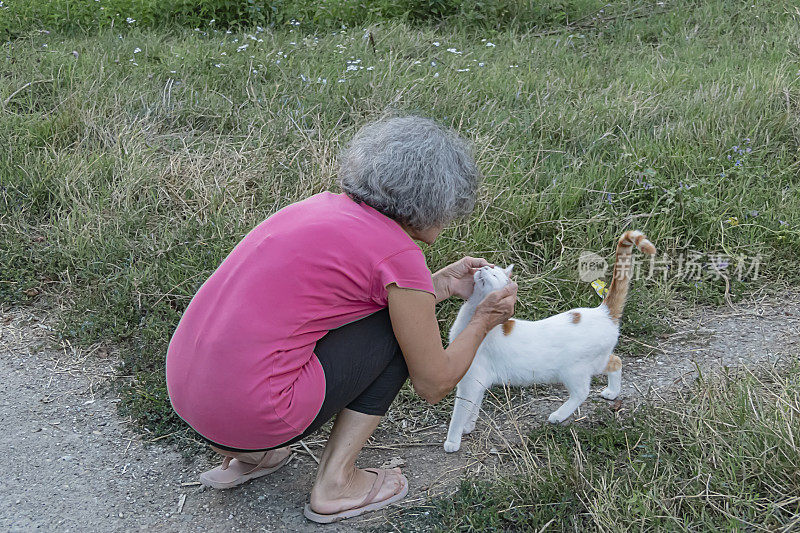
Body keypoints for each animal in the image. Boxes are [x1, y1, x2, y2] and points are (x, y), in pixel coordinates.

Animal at [444, 231, 656, 450]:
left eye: (494, 274)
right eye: (489, 268)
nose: (484, 267)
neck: (473, 317)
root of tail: (602, 311)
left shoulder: (469, 382)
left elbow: (459, 414)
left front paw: (452, 440)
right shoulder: (477, 381)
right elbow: (473, 408)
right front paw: (469, 426)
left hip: (574, 370)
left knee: (582, 391)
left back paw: (558, 415)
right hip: (597, 361)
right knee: (616, 361)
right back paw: (612, 392)